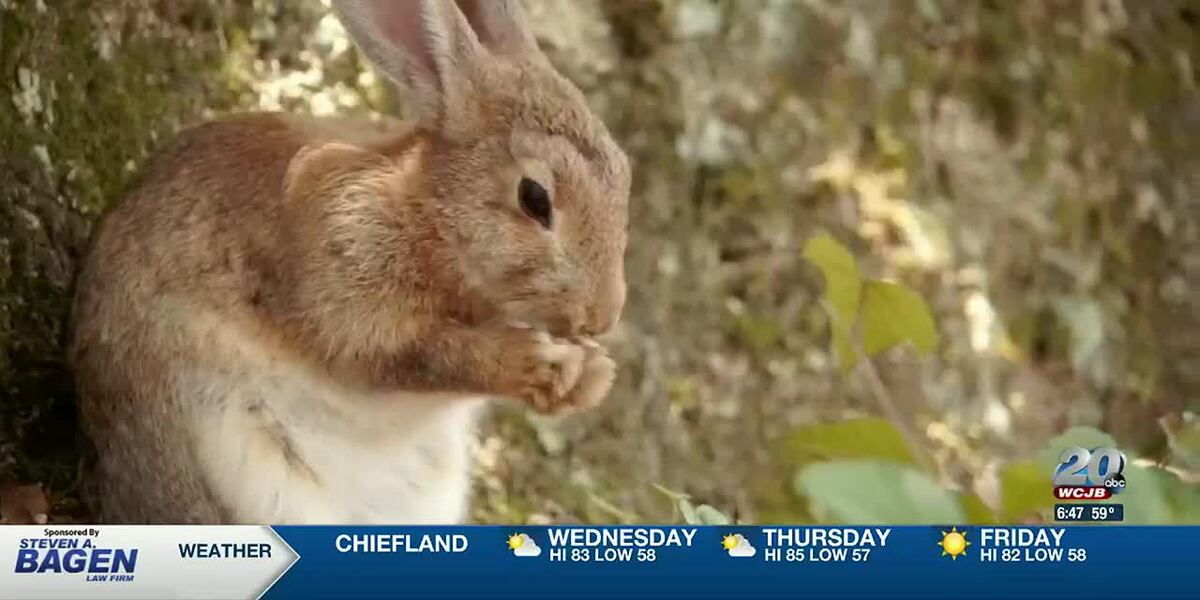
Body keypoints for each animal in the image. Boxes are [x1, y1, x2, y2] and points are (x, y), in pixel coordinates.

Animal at [68, 0, 630, 524]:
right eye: (535, 198)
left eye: (625, 175)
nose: (601, 317)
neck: (429, 216)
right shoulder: (348, 287)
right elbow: (422, 357)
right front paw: (547, 364)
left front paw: (592, 375)